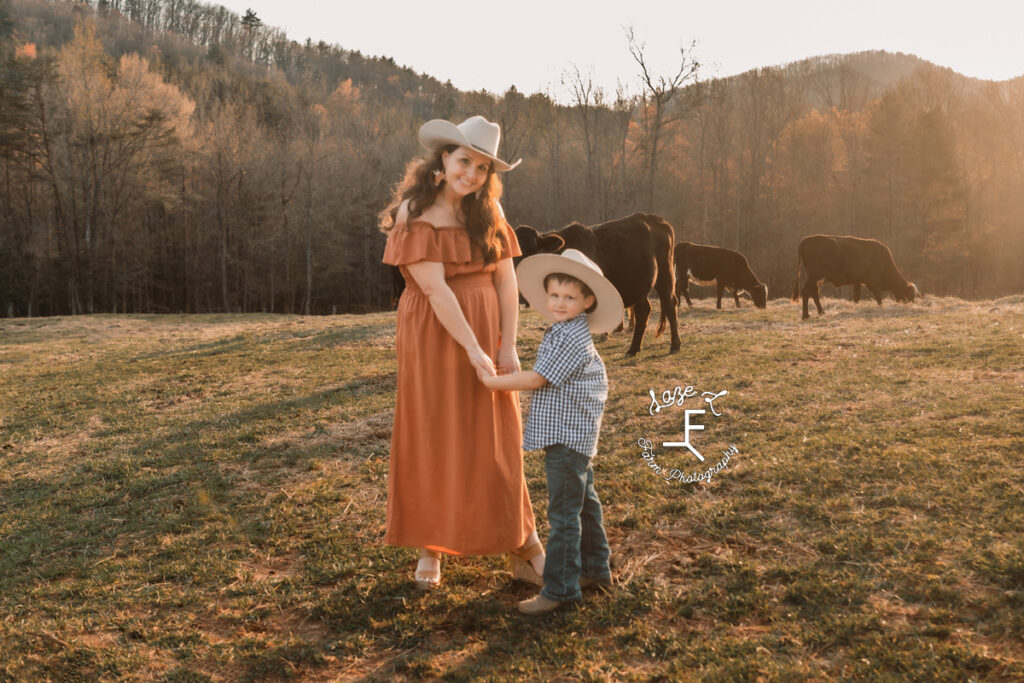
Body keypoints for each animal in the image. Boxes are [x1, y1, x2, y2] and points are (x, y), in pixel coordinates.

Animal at [516, 215, 675, 358]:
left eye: (533, 250)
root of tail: (656, 219)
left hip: (665, 273)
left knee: (669, 304)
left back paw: (675, 345)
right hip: (638, 285)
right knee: (644, 310)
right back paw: (633, 349)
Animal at [790, 235, 921, 321]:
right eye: (910, 295)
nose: (911, 304)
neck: (884, 262)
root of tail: (809, 239)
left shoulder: (857, 282)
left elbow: (856, 297)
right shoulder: (873, 283)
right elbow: (878, 297)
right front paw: (881, 307)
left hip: (815, 279)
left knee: (814, 293)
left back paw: (821, 312)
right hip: (814, 276)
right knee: (807, 292)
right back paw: (806, 315)